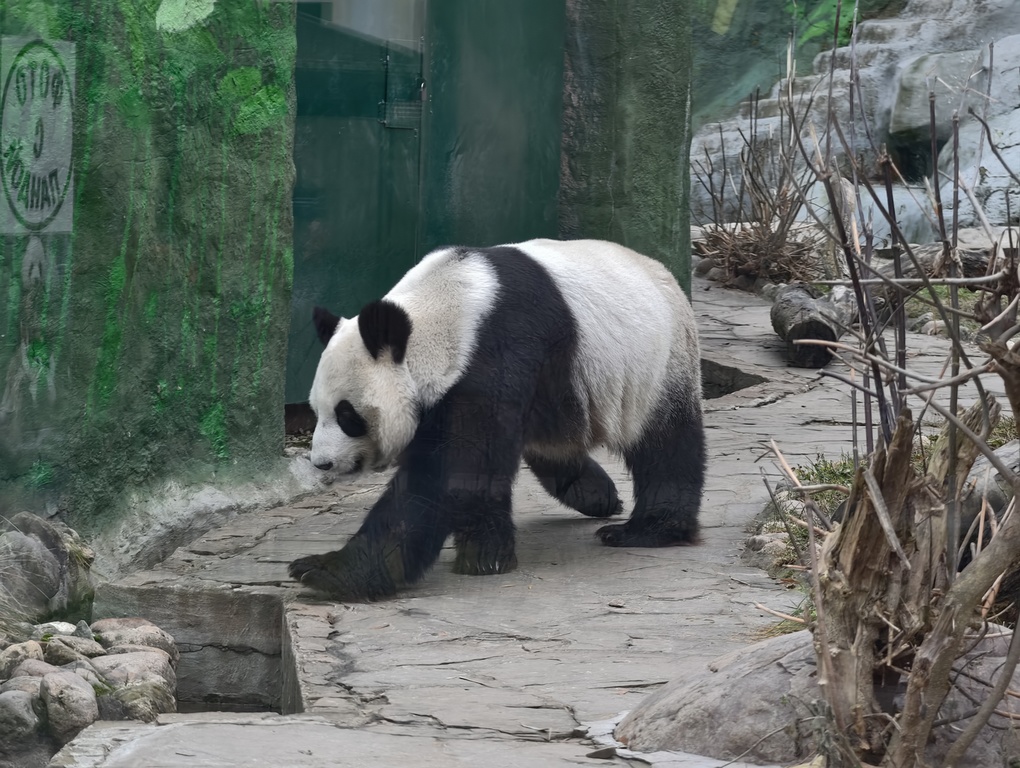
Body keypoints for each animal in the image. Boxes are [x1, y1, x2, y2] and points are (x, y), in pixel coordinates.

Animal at [289, 238, 705, 600]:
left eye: (347, 415)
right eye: (316, 411)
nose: (322, 462)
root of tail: (664, 272)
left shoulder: (497, 350)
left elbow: (451, 474)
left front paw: (327, 571)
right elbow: (476, 471)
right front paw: (487, 554)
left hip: (659, 363)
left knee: (666, 446)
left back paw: (648, 530)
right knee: (553, 444)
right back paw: (596, 495)